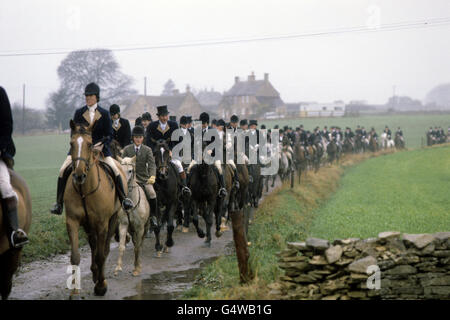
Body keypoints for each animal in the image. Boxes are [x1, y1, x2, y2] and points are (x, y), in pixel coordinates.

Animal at [65, 120, 125, 298]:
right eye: (71, 143)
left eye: (90, 144)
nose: (79, 175)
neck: (84, 190)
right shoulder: (72, 222)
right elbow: (75, 256)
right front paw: (74, 290)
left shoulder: (102, 224)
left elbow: (101, 254)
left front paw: (101, 286)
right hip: (88, 224)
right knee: (93, 244)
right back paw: (94, 272)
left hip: (112, 219)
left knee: (103, 249)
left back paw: (99, 277)